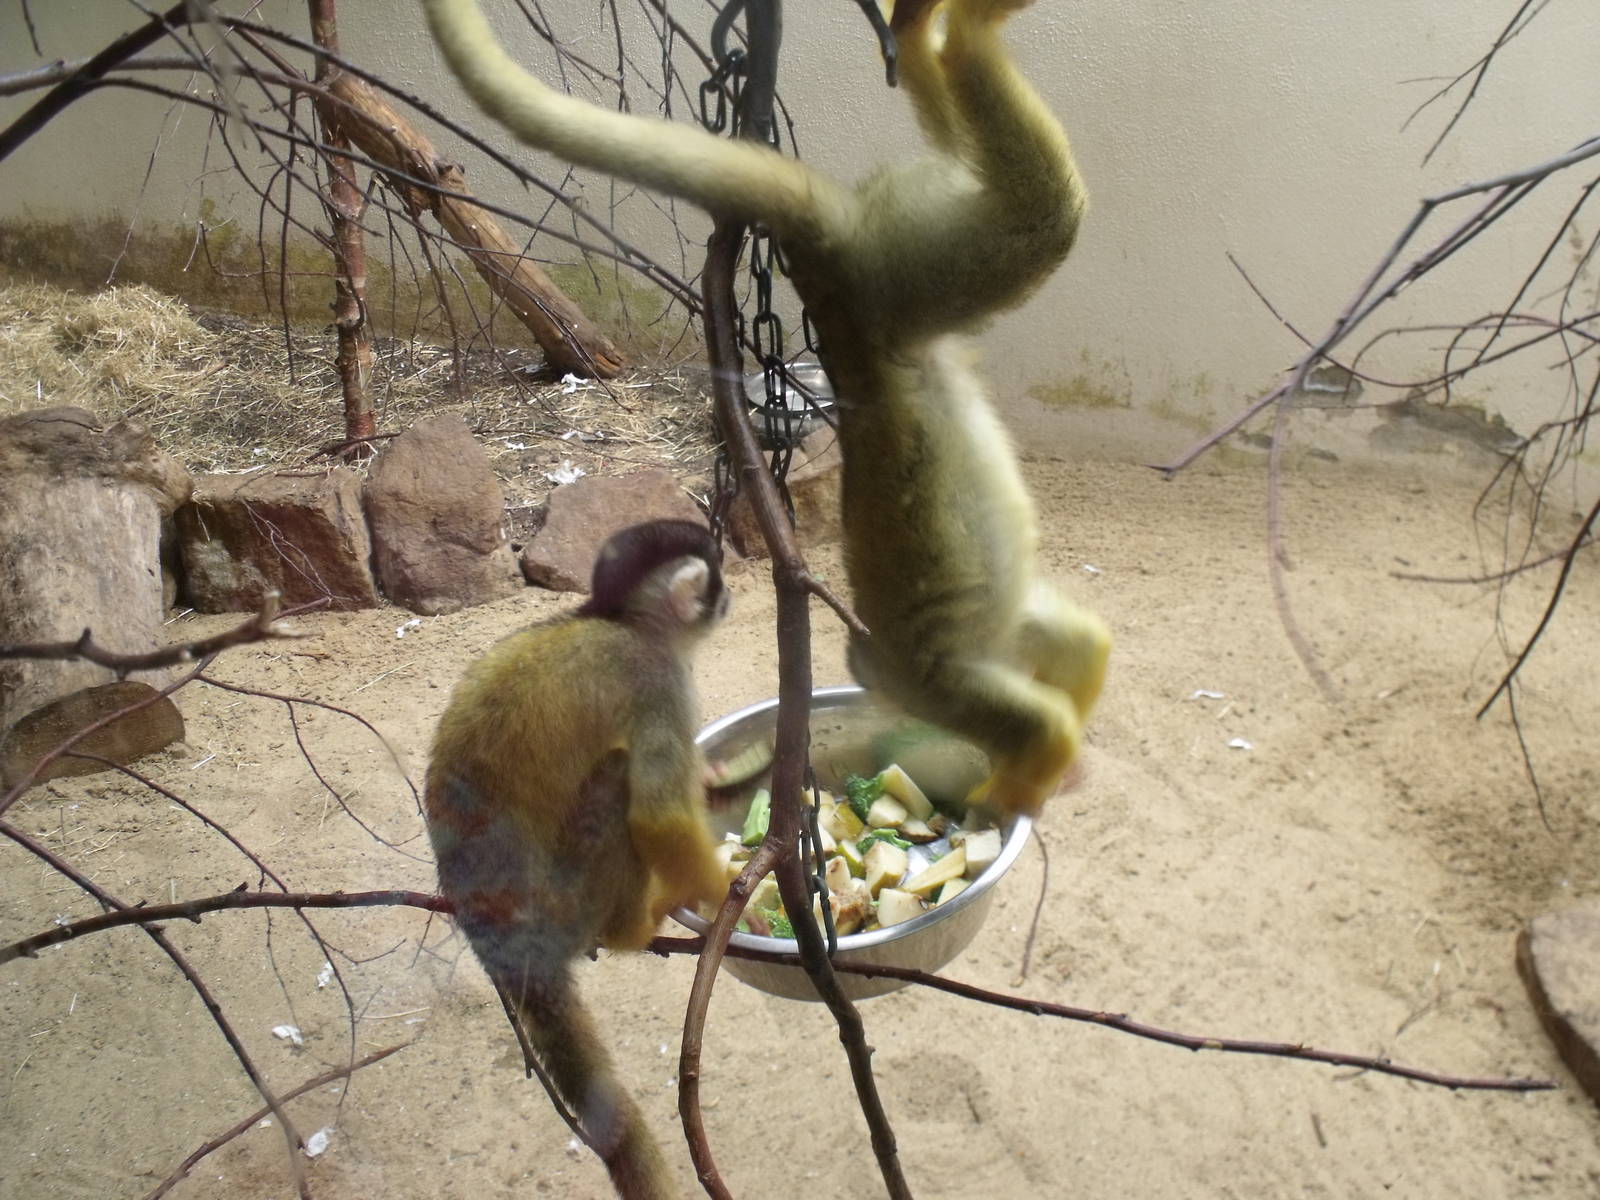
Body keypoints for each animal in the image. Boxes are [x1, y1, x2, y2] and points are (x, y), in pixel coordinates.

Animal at [421, 0, 1111, 816]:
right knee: (1022, 210)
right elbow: (1080, 656)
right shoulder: (949, 672)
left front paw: (1006, 796)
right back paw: (927, 41)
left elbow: (1040, 726)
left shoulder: (925, 682)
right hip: (904, 260)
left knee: (1041, 217)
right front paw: (1042, 776)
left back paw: (962, 30)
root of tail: (835, 303)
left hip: (892, 281)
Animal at [423, 519, 732, 1200]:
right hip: (566, 899)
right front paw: (728, 898)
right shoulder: (657, 683)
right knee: (617, 785)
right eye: (716, 582)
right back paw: (628, 928)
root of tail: (501, 940)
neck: (623, 621)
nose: (727, 599)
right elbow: (658, 816)